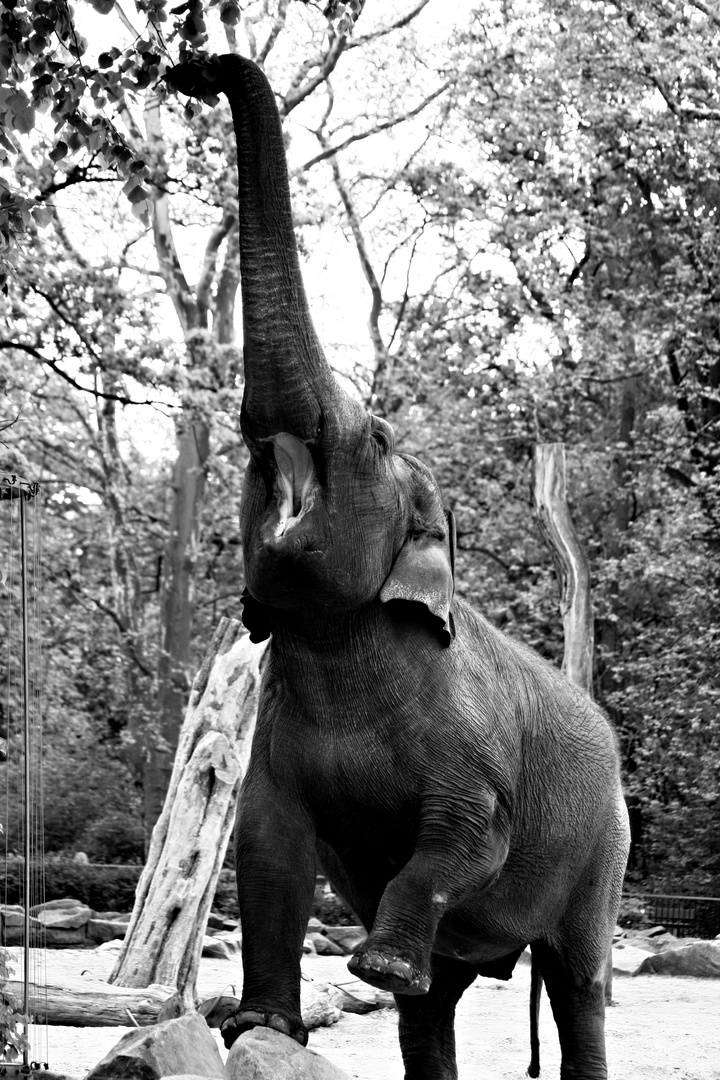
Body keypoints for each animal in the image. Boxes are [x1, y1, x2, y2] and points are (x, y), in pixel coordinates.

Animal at [166, 56, 626, 1080]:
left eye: (375, 437)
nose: (190, 69)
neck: (341, 643)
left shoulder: (475, 745)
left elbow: (465, 837)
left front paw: (375, 967)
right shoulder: (274, 753)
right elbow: (268, 851)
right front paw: (257, 1028)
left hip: (606, 856)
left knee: (578, 982)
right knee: (439, 1006)